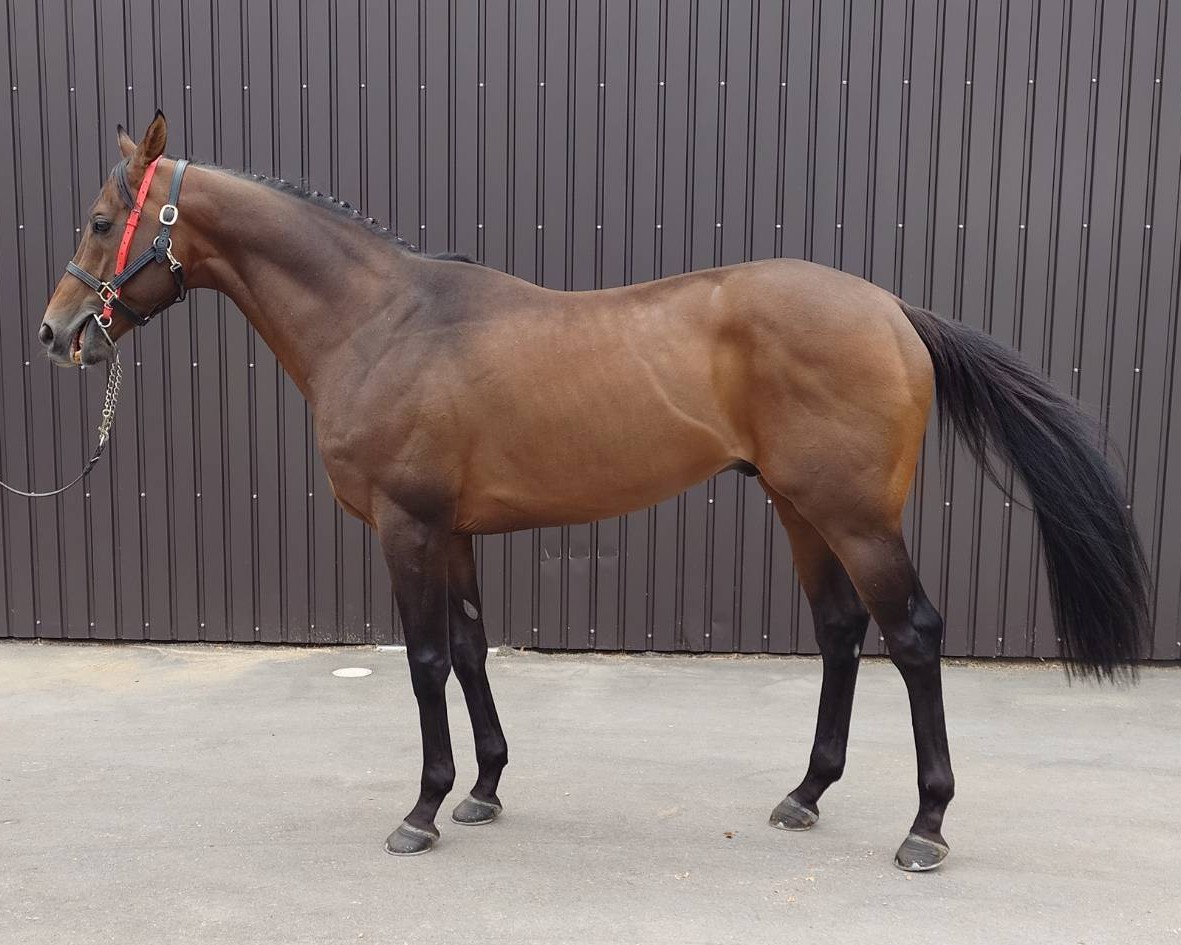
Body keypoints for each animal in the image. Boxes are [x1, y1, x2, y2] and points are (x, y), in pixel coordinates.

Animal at [37, 112, 1148, 871]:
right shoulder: (453, 530)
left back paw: (924, 825)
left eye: (99, 220)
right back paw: (803, 793)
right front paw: (483, 789)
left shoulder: (406, 526)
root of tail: (891, 310)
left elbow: (425, 662)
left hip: (856, 517)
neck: (383, 321)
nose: (56, 333)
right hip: (799, 509)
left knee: (911, 636)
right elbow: (473, 650)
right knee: (839, 633)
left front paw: (421, 809)